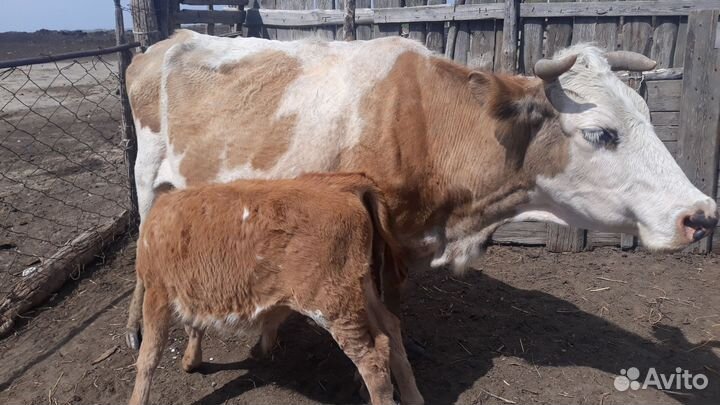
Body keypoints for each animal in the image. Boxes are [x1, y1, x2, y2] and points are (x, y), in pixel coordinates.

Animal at [125, 30, 718, 351]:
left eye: (646, 114)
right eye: (601, 133)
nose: (701, 214)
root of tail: (167, 42)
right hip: (147, 177)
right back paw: (136, 330)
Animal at [128, 173, 423, 405]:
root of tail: (345, 183)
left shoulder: (157, 293)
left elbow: (148, 357)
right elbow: (194, 327)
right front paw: (192, 359)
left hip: (332, 304)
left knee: (372, 361)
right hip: (360, 286)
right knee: (390, 328)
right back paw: (412, 396)